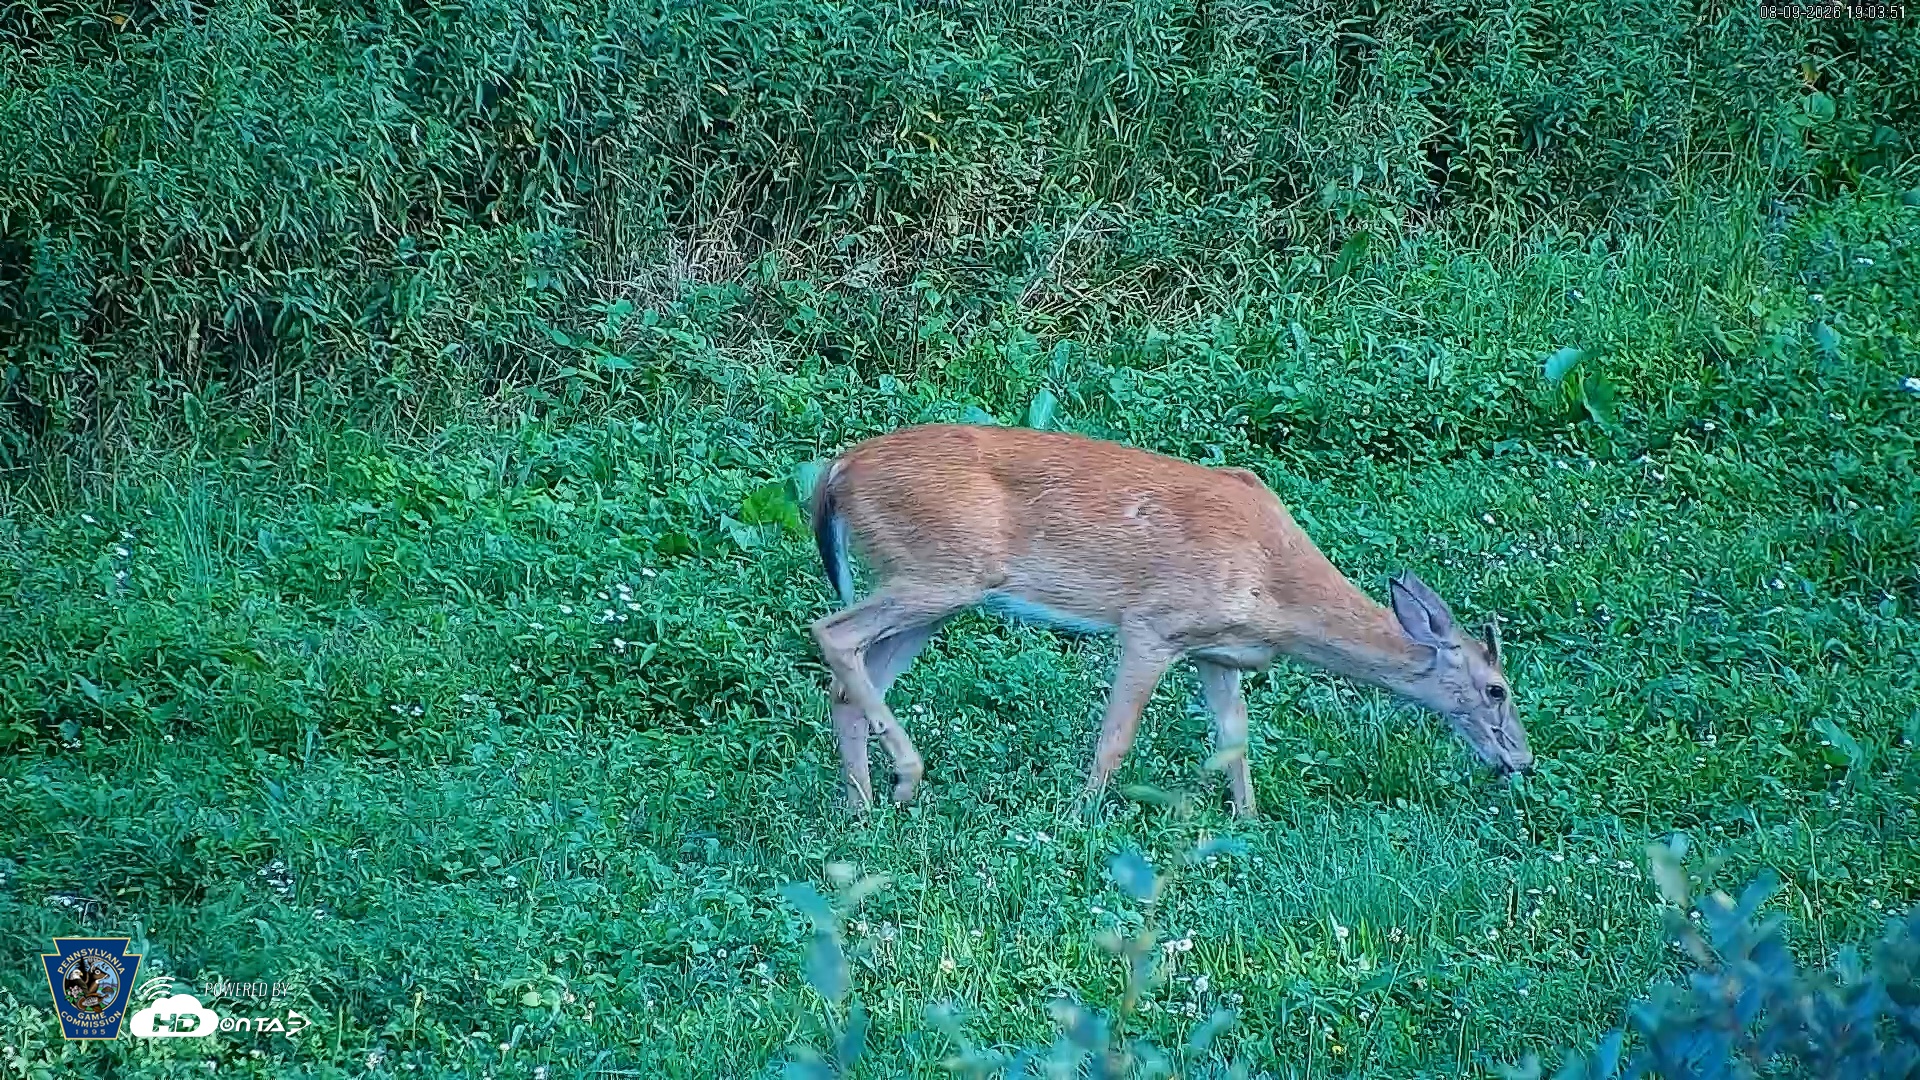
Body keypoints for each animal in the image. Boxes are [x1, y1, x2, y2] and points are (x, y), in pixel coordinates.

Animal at [807, 423, 1533, 816]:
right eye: (1497, 689)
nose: (1522, 760)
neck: (1275, 584)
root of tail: (837, 470)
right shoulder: (1154, 625)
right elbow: (1116, 736)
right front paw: (1080, 815)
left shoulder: (1220, 652)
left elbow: (1235, 739)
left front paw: (1248, 819)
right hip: (942, 573)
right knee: (831, 631)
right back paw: (907, 776)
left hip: (936, 591)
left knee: (850, 680)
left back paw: (864, 802)